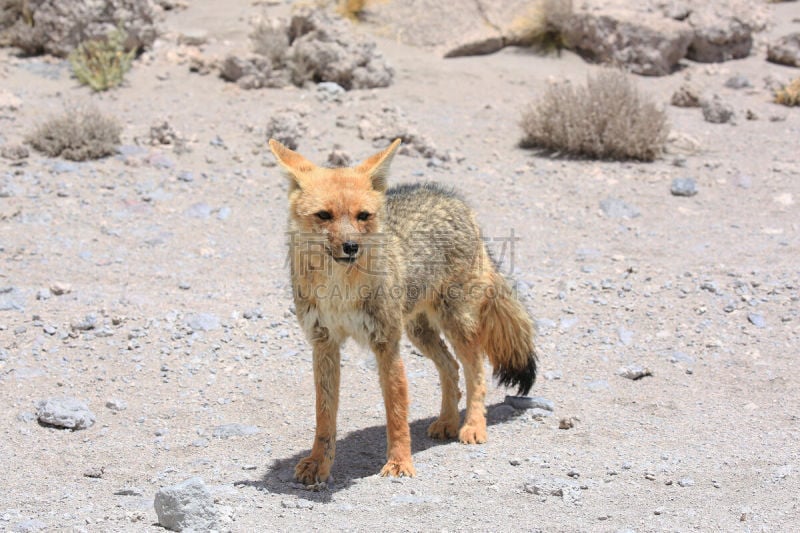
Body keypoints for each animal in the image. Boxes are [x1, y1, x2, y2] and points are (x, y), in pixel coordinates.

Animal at [268, 138, 536, 486]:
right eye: (324, 215)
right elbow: (324, 414)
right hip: (419, 331)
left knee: (475, 371)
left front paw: (399, 463)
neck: (341, 290)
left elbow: (396, 411)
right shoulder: (324, 344)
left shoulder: (386, 344)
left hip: (455, 325)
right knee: (450, 367)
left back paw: (472, 426)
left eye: (363, 216)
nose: (351, 247)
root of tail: (452, 198)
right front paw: (318, 463)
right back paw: (447, 421)